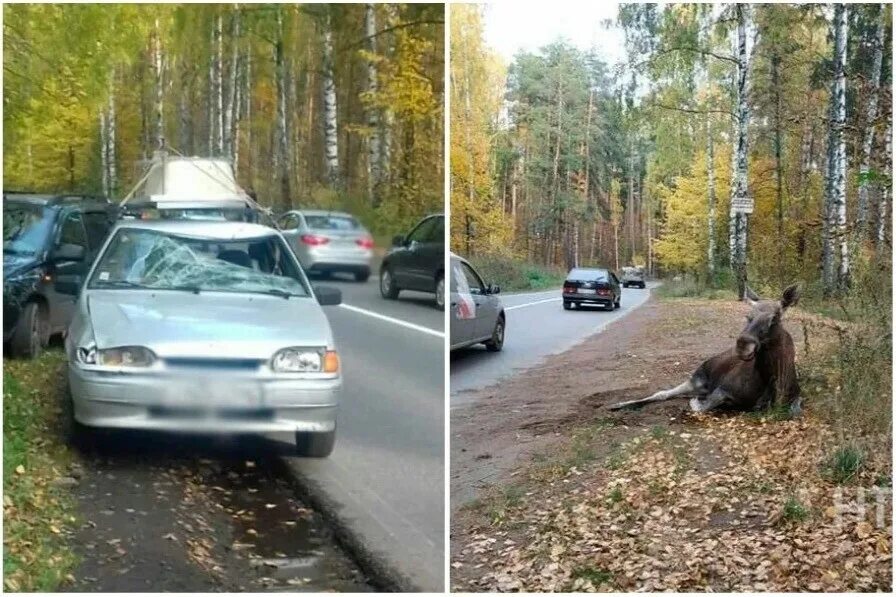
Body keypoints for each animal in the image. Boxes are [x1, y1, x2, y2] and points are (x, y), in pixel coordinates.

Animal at [608, 282, 804, 414]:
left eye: (774, 318)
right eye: (747, 315)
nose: (743, 345)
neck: (772, 380)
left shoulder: (796, 395)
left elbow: (795, 410)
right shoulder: (722, 389)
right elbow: (700, 407)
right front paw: (696, 403)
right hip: (696, 379)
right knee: (662, 393)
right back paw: (617, 405)